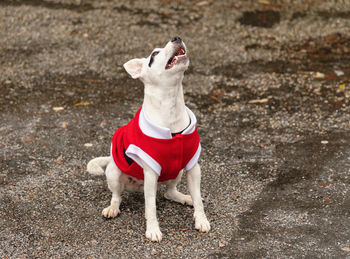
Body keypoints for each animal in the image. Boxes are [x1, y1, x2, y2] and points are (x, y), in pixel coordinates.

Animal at [87, 37, 211, 244]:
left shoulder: (193, 168)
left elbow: (198, 199)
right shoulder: (151, 174)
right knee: (117, 195)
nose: (176, 38)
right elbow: (150, 207)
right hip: (114, 172)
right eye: (154, 54)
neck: (171, 106)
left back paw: (185, 197)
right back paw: (113, 208)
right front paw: (153, 230)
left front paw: (201, 219)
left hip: (176, 172)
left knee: (170, 192)